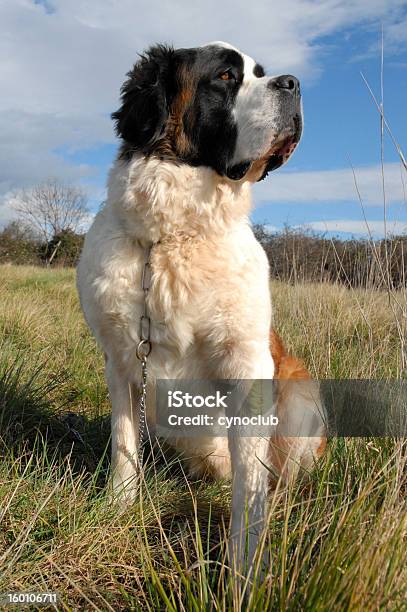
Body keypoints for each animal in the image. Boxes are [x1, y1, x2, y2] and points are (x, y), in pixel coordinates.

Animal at [77, 41, 328, 572]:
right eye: (227, 76)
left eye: (261, 73)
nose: (293, 83)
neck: (173, 236)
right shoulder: (121, 362)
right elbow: (124, 442)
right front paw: (118, 506)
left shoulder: (248, 362)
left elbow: (251, 485)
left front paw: (245, 565)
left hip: (301, 393)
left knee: (280, 470)